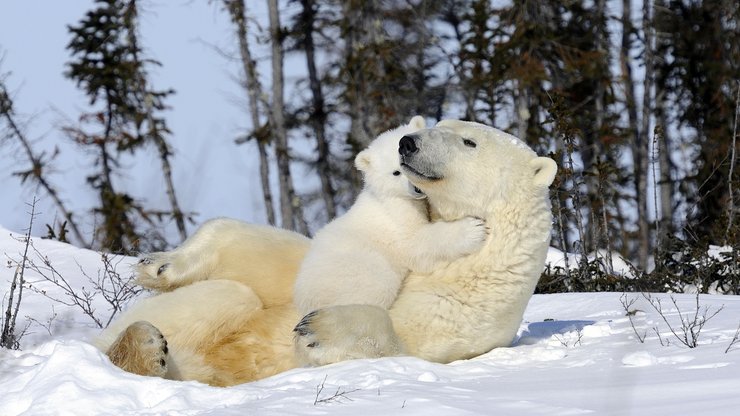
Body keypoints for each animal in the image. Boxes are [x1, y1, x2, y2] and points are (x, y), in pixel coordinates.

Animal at [292, 117, 488, 316]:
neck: (387, 194)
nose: (416, 189)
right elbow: (416, 241)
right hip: (359, 273)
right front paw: (473, 229)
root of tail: (305, 302)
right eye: (396, 172)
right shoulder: (396, 213)